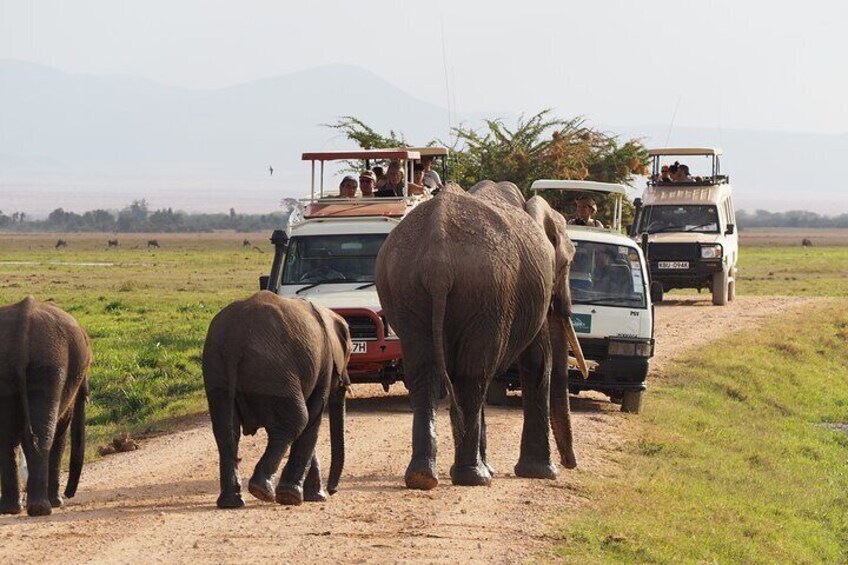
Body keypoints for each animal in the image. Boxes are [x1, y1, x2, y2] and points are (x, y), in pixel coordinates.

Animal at [0, 297, 91, 516]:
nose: (69, 494)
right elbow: (61, 431)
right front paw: (58, 502)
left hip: (13, 367)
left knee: (8, 438)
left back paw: (12, 509)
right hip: (50, 366)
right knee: (42, 436)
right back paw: (41, 508)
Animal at [202, 291, 351, 509]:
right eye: (349, 353)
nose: (333, 491)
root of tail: (234, 340)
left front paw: (315, 497)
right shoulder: (324, 364)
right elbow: (313, 419)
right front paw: (298, 497)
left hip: (216, 367)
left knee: (225, 430)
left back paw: (231, 502)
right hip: (274, 372)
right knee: (298, 420)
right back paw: (264, 492)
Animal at [374, 181, 588, 490]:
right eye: (567, 265)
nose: (571, 464)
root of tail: (438, 262)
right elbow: (538, 360)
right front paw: (542, 472)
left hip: (406, 288)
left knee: (426, 374)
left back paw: (424, 477)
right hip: (486, 292)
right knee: (472, 377)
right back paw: (474, 477)